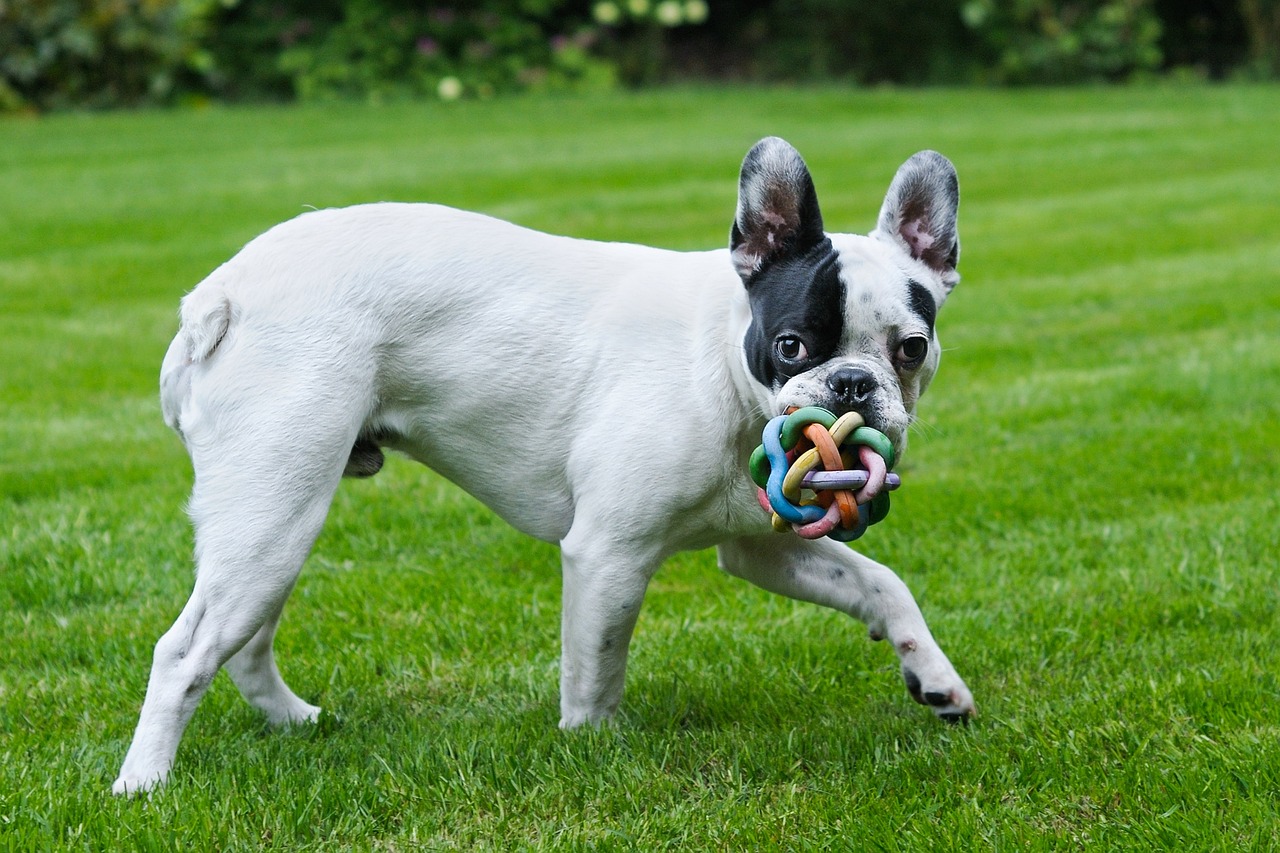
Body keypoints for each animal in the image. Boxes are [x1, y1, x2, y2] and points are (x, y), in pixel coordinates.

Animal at [115, 136, 972, 794]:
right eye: (792, 344)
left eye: (912, 348)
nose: (852, 384)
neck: (724, 363)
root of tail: (220, 294)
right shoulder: (609, 554)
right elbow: (597, 665)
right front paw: (593, 748)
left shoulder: (759, 545)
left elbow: (878, 583)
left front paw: (933, 675)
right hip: (274, 512)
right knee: (185, 652)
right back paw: (144, 783)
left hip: (276, 524)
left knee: (244, 641)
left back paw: (294, 721)